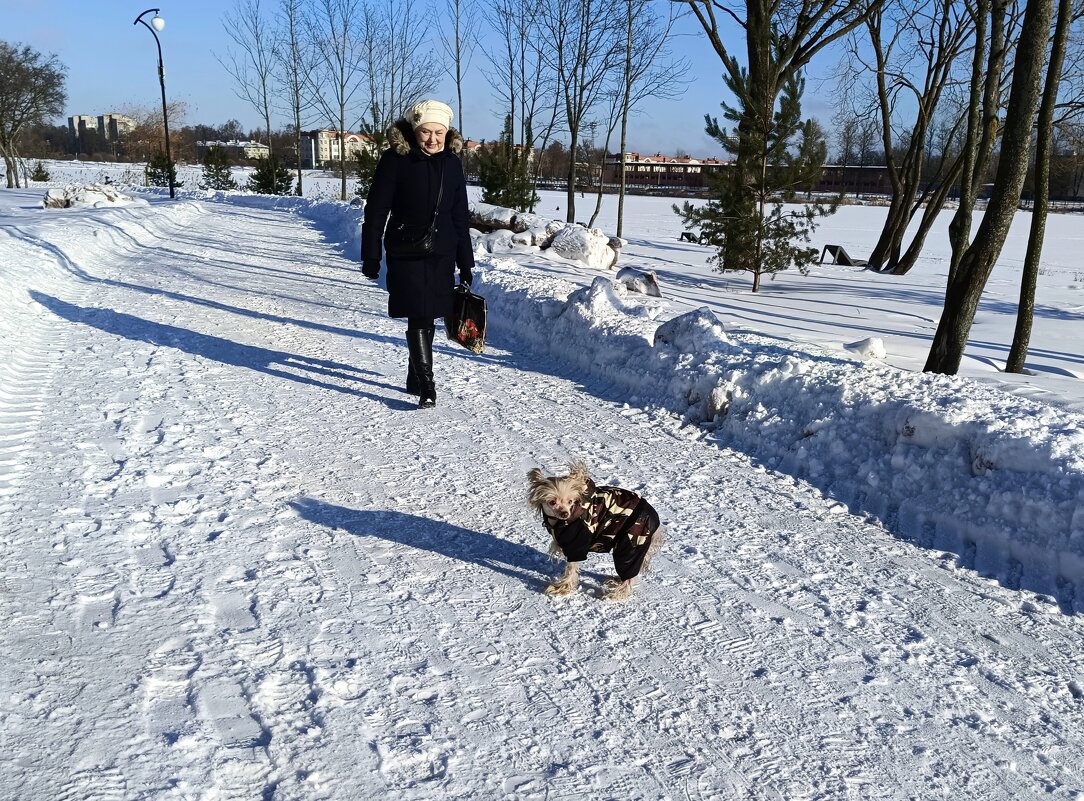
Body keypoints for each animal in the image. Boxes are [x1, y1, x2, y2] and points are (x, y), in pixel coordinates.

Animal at [524, 459, 659, 598]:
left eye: (570, 501)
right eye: (552, 502)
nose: (565, 514)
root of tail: (655, 519)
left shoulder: (576, 545)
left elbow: (571, 568)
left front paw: (562, 588)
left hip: (631, 543)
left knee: (629, 574)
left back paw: (615, 595)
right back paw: (616, 580)